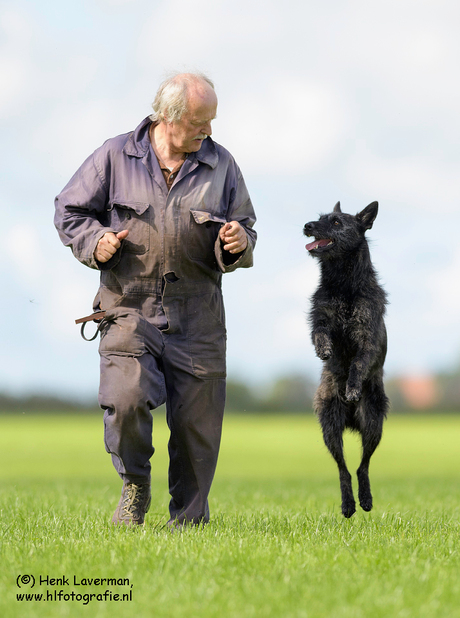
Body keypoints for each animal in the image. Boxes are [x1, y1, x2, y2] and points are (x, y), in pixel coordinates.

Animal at [306, 201, 388, 516]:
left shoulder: (367, 339)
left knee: (363, 465)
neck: (343, 282)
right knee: (343, 468)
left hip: (373, 423)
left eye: (337, 222)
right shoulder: (321, 316)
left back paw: (364, 499)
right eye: (319, 218)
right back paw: (348, 503)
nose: (307, 226)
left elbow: (358, 363)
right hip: (330, 427)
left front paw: (352, 387)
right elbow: (319, 331)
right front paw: (324, 350)